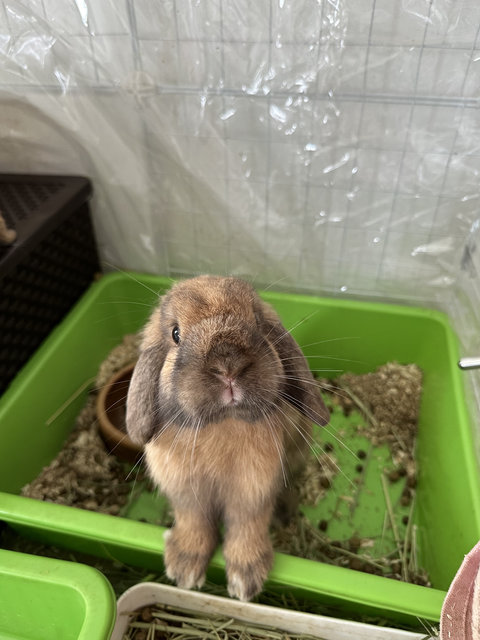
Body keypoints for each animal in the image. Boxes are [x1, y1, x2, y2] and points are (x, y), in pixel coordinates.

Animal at [126, 276, 330, 600]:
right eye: (175, 333)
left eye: (257, 321)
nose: (228, 365)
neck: (222, 425)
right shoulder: (186, 493)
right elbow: (194, 522)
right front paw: (183, 569)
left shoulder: (253, 491)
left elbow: (247, 526)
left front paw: (246, 580)